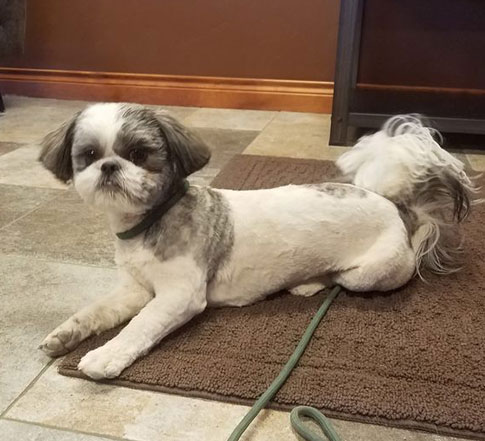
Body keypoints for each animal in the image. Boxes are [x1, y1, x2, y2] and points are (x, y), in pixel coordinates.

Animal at [36, 105, 472, 380]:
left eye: (140, 154)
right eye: (88, 154)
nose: (109, 167)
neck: (148, 223)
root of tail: (393, 205)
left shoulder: (179, 296)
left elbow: (139, 326)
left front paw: (105, 355)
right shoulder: (136, 288)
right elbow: (97, 310)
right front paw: (66, 335)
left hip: (369, 274)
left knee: (342, 279)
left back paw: (309, 282)